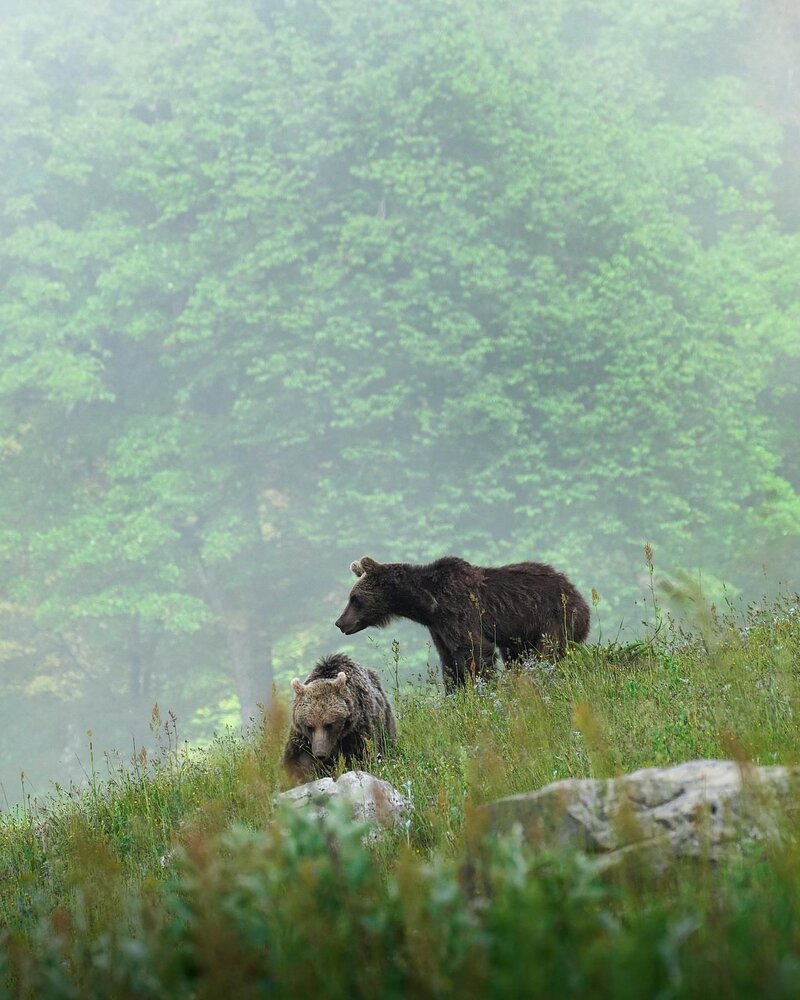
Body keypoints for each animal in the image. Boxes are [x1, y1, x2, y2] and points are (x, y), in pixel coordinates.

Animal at [282, 652, 396, 784]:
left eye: (328, 724)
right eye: (309, 726)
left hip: (385, 722)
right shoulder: (301, 737)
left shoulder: (357, 730)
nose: (320, 754)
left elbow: (361, 755)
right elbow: (295, 760)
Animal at [334, 560, 592, 692]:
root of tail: (575, 591)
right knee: (518, 658)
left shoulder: (458, 612)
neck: (428, 604)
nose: (339, 622)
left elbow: (475, 652)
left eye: (355, 598)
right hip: (521, 635)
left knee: (546, 654)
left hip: (554, 619)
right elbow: (449, 663)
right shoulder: (438, 628)